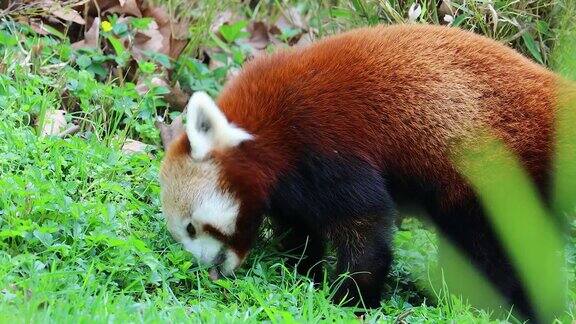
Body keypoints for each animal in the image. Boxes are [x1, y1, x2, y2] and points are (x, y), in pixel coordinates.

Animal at [158, 24, 568, 318]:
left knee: (500, 248)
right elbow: (301, 227)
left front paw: (352, 297)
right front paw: (303, 269)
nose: (208, 267)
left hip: (501, 171)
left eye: (192, 227)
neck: (269, 132)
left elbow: (366, 225)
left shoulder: (326, 146)